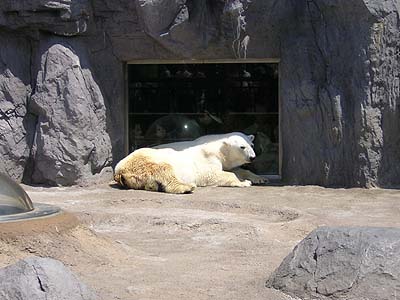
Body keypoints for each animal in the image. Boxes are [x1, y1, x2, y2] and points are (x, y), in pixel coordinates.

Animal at [114, 132, 268, 193]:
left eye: (251, 145)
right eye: (242, 147)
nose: (253, 157)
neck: (217, 149)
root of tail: (119, 170)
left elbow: (237, 169)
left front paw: (260, 179)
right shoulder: (207, 160)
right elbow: (213, 174)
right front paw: (244, 183)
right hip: (146, 161)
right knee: (165, 170)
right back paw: (187, 187)